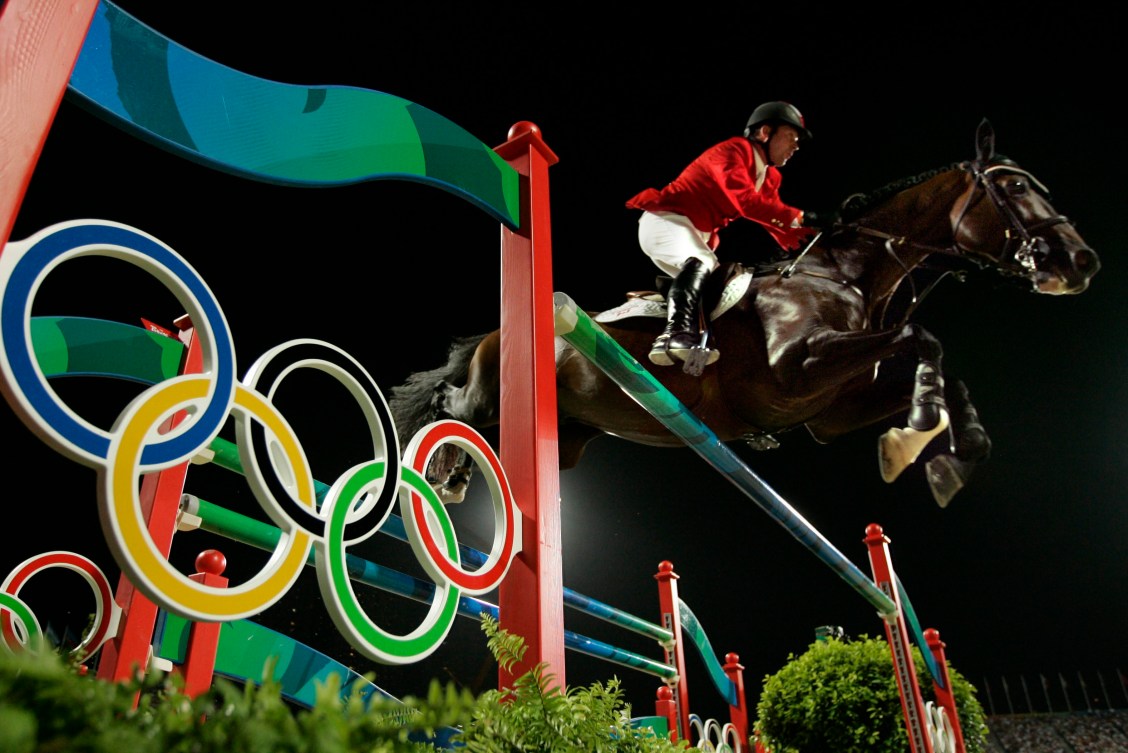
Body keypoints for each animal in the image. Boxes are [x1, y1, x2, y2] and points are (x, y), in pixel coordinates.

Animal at [390, 120, 1100, 509]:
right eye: (1013, 186)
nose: (1080, 262)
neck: (847, 276)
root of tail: (492, 333)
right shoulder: (795, 370)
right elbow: (922, 335)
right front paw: (923, 430)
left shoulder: (829, 413)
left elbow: (938, 370)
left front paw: (945, 449)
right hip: (493, 392)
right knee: (454, 407)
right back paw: (439, 469)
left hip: (564, 438)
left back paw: (454, 475)